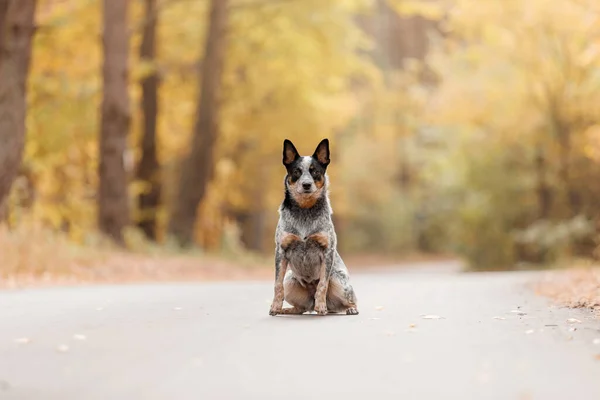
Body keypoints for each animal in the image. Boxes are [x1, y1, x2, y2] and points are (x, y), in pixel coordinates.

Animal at [268, 138, 360, 316]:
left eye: (315, 171)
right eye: (297, 171)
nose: (306, 184)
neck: (305, 210)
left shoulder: (327, 251)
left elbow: (322, 285)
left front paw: (321, 306)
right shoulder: (281, 251)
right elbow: (277, 284)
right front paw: (275, 307)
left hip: (339, 280)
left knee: (350, 300)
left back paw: (348, 308)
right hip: (290, 279)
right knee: (301, 308)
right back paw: (288, 309)